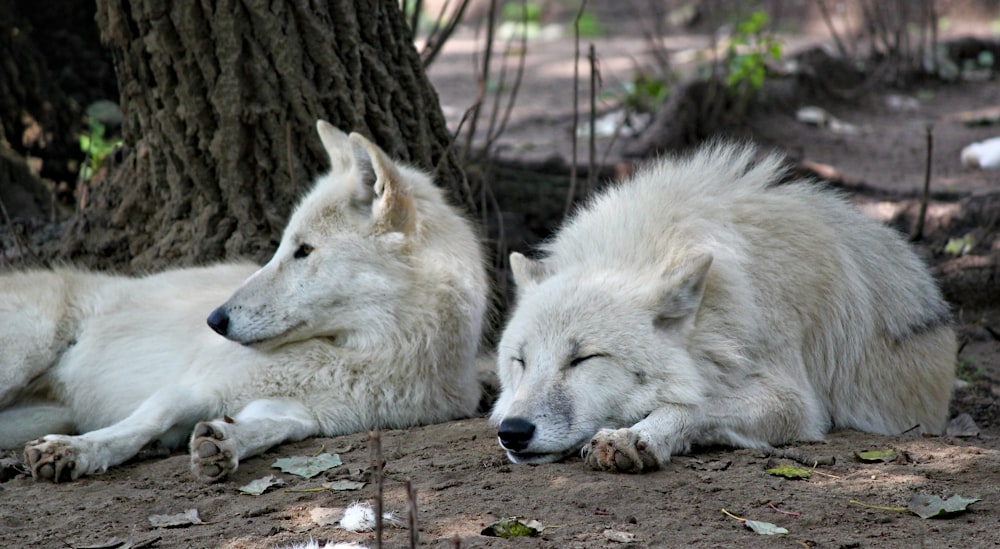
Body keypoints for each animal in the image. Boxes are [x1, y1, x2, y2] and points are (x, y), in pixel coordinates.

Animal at [0, 120, 488, 480]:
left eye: (304, 251)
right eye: (283, 247)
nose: (214, 320)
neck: (363, 354)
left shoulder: (304, 413)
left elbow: (272, 427)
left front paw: (224, 441)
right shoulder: (191, 385)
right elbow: (141, 424)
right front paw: (75, 452)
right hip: (21, 359)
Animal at [492, 143, 952, 474]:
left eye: (583, 359)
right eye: (520, 361)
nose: (512, 431)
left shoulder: (794, 400)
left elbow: (696, 404)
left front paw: (635, 436)